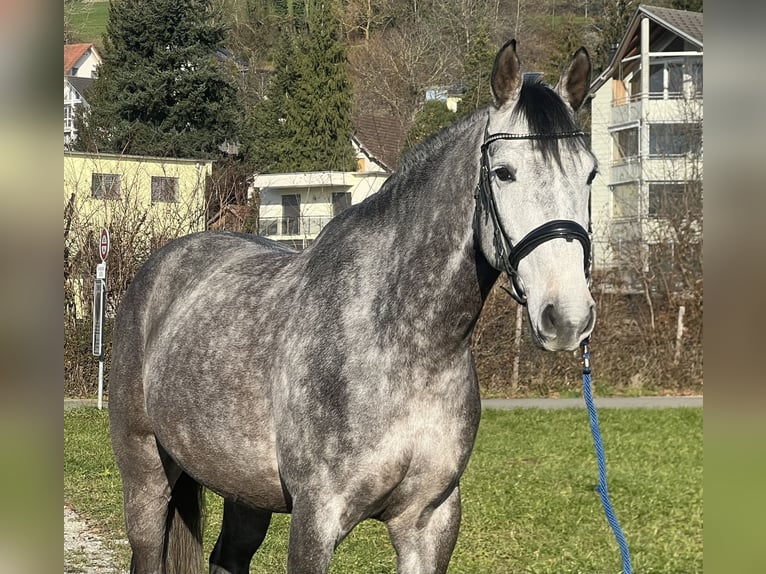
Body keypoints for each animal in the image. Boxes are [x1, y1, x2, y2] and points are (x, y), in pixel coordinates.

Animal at [108, 41, 600, 574]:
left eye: (590, 174)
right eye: (503, 172)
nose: (567, 316)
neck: (402, 344)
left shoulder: (430, 523)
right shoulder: (316, 519)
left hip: (245, 490)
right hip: (146, 473)